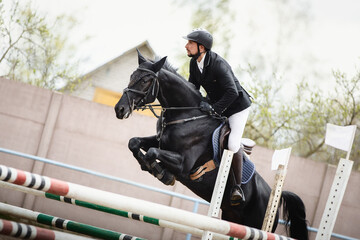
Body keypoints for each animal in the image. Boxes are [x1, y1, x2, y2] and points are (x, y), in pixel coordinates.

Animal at [115, 49, 310, 239]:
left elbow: (152, 153)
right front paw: (150, 167)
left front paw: (162, 173)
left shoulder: (183, 164)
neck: (186, 115)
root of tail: (274, 197)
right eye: (132, 75)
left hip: (254, 224)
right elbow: (134, 143)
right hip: (233, 219)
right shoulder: (160, 141)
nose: (120, 109)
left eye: (145, 80)